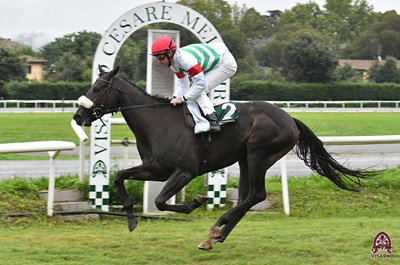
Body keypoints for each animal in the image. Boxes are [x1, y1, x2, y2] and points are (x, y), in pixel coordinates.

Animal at [72, 67, 376, 249]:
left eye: (97, 89)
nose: (78, 115)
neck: (158, 123)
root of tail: (290, 119)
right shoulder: (155, 169)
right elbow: (119, 176)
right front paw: (132, 220)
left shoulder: (185, 170)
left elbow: (160, 201)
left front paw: (196, 201)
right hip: (244, 159)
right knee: (245, 198)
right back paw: (216, 235)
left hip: (258, 154)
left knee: (256, 195)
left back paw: (218, 227)